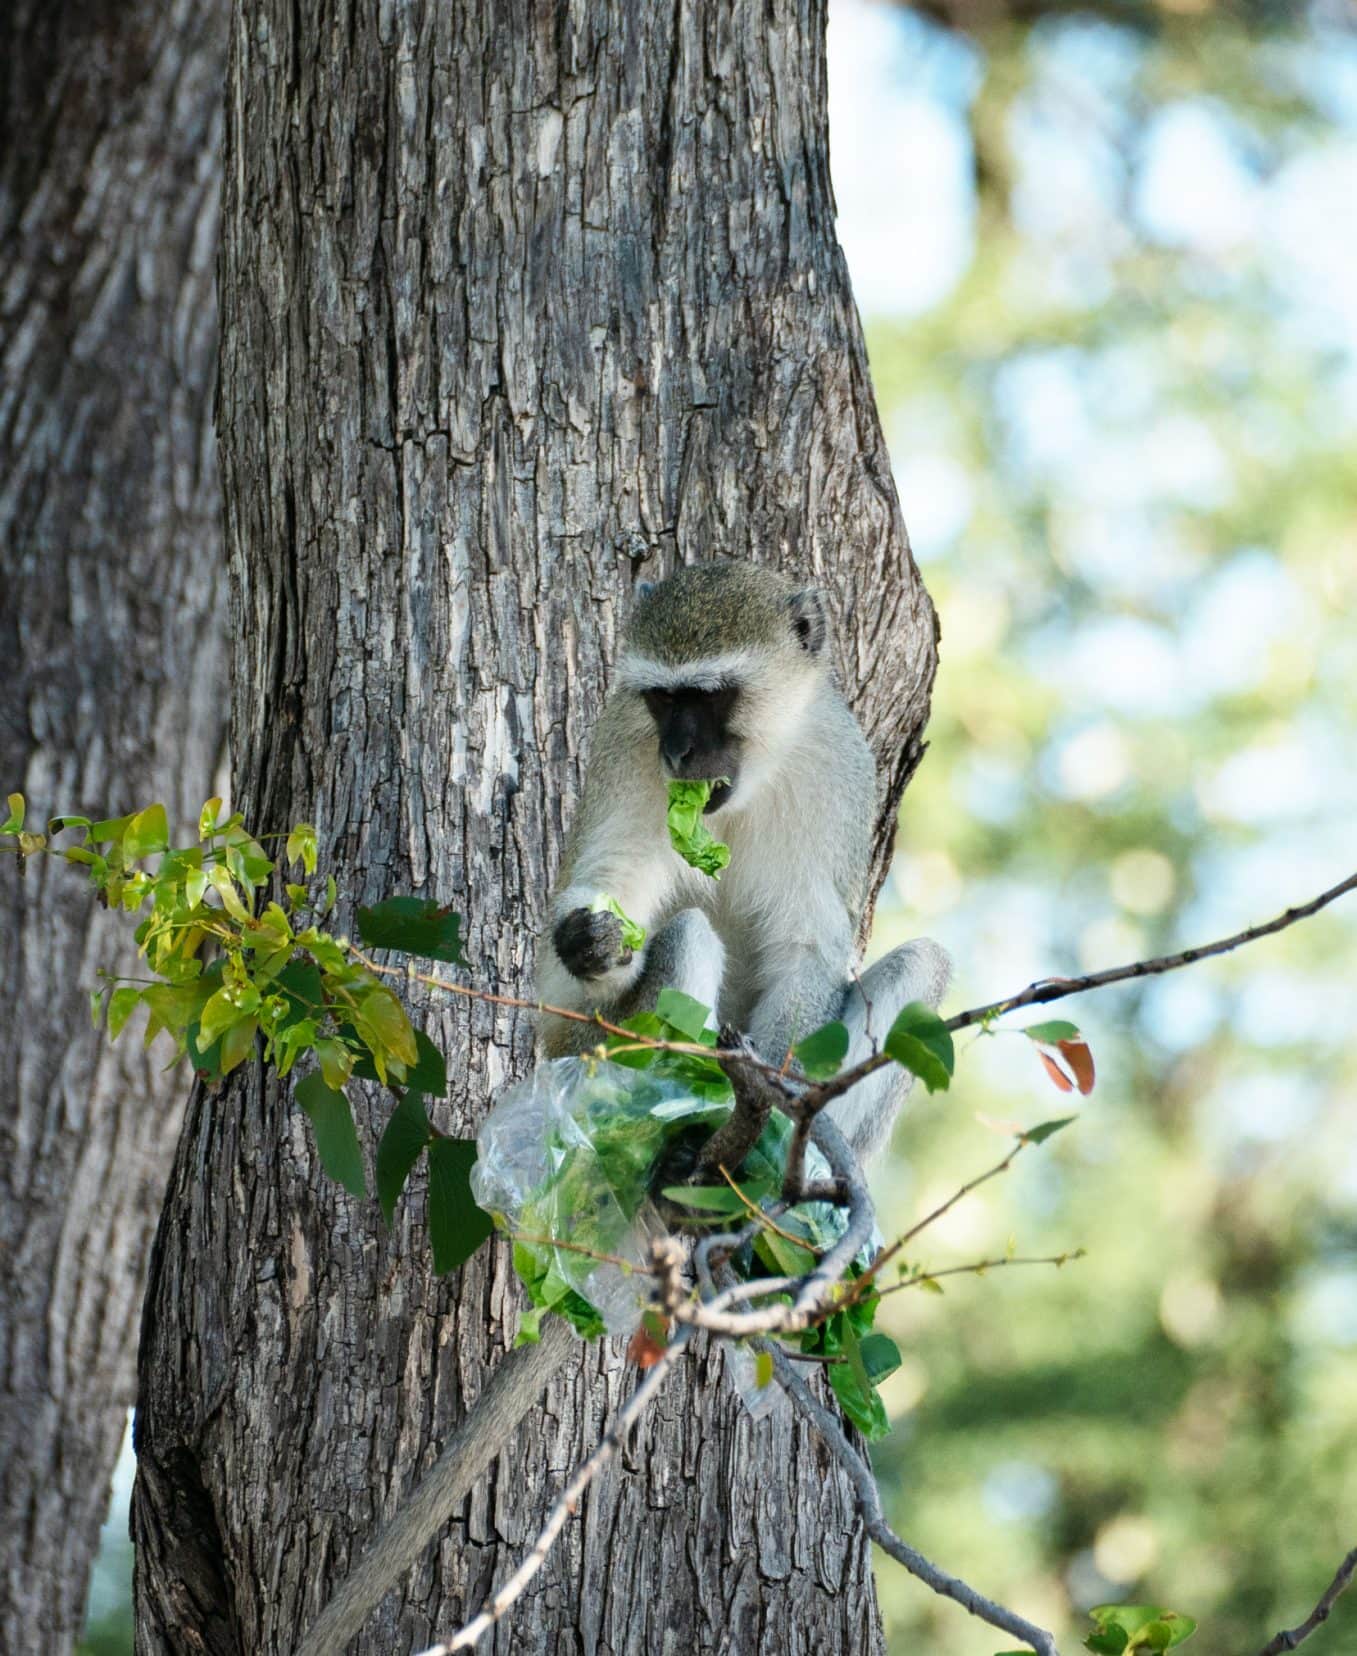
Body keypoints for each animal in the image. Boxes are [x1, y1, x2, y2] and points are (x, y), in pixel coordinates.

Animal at [536, 563, 947, 1159]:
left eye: (711, 697)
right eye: (662, 698)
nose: (676, 753)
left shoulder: (839, 764)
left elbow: (806, 948)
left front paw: (775, 1111)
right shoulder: (622, 750)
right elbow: (612, 882)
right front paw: (591, 942)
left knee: (924, 963)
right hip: (587, 1050)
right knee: (686, 935)